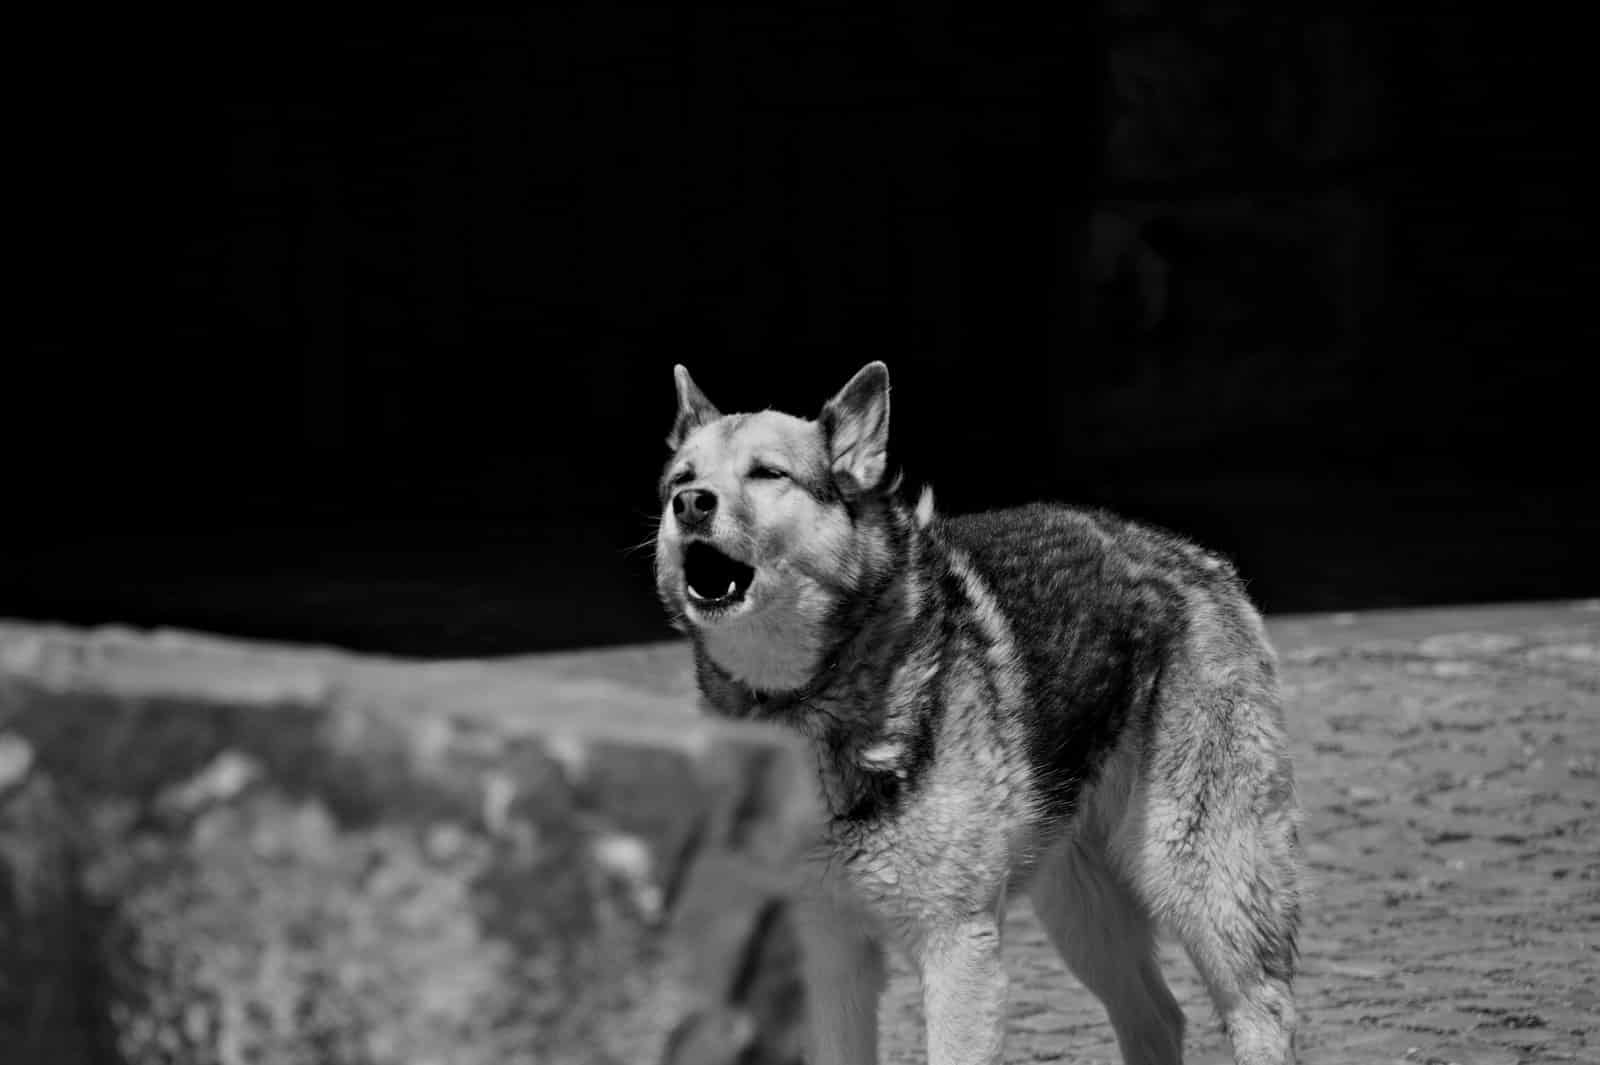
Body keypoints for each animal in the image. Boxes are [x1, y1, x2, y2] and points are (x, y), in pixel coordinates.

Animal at [654, 362, 1301, 1065]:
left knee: (1262, 1010)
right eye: (681, 481)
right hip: (1081, 907)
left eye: (768, 474)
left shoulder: (957, 947)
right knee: (1160, 1018)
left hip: (1200, 881)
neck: (814, 689)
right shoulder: (828, 954)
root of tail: (1194, 557)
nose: (691, 505)